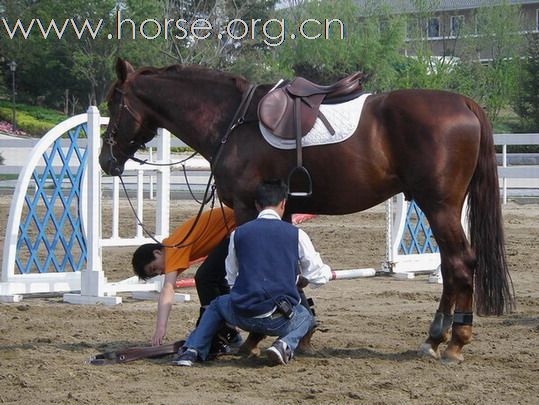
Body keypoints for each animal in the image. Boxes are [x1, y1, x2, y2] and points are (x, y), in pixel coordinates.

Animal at [99, 58, 516, 362]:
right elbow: (293, 279)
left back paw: (454, 341)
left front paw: (254, 338)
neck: (232, 119)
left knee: (460, 263)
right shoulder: (280, 212)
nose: (105, 160)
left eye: (114, 102)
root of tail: (464, 103)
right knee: (449, 266)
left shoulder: (248, 209)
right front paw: (301, 332)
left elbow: (252, 278)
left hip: (440, 206)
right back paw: (435, 338)